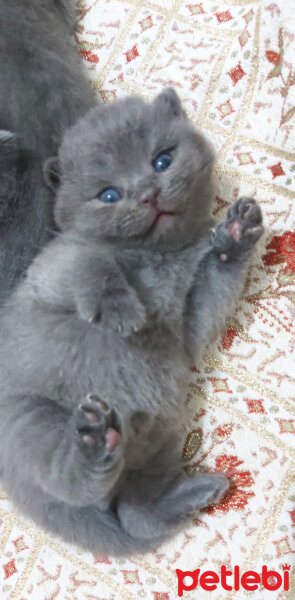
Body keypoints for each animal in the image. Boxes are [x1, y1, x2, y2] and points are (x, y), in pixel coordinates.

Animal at [0, 88, 264, 552]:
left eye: (162, 160)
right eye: (108, 195)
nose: (148, 194)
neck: (157, 258)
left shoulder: (189, 321)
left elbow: (216, 284)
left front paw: (235, 236)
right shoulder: (57, 267)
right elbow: (94, 266)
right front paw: (124, 313)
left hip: (159, 443)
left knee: (137, 514)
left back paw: (195, 491)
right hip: (32, 419)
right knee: (68, 478)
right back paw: (92, 443)